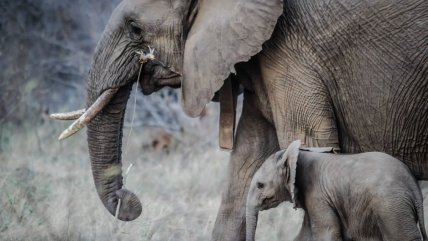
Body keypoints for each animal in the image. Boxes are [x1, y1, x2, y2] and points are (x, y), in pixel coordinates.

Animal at [246, 140, 426, 240]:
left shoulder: (318, 195)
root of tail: (412, 184)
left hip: (391, 206)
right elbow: (305, 235)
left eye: (260, 185)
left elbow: (327, 232)